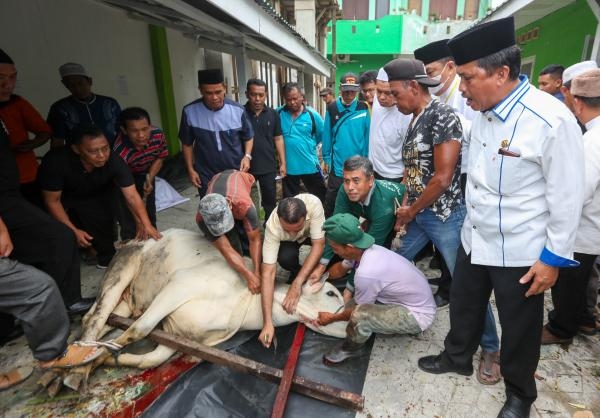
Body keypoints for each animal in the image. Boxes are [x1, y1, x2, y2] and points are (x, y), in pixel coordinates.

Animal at [61, 229, 346, 392]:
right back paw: (72, 371)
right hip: (124, 264)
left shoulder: (180, 335)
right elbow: (139, 330)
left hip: (129, 299)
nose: (350, 313)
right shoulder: (179, 285)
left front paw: (106, 359)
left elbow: (149, 359)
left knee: (107, 318)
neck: (245, 305)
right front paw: (93, 360)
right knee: (97, 315)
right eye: (332, 293)